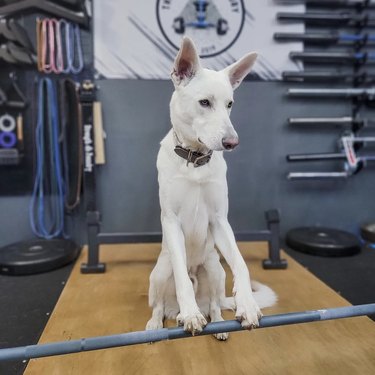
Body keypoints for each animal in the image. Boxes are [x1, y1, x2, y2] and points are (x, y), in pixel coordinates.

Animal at [145, 36, 278, 340]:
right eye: (204, 102)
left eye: (230, 104)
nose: (232, 142)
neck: (195, 160)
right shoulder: (171, 222)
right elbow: (182, 277)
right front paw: (191, 314)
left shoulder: (220, 221)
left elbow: (240, 263)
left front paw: (247, 304)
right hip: (159, 272)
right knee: (159, 305)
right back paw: (159, 324)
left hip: (215, 271)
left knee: (216, 305)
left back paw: (218, 325)